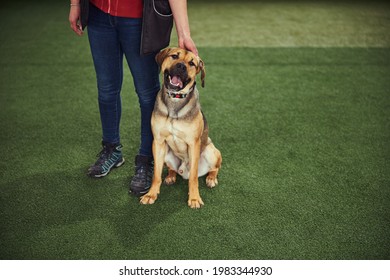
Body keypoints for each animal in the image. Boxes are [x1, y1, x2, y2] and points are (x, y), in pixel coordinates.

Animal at [140, 47, 221, 208]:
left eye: (192, 63)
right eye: (174, 56)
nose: (181, 66)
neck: (175, 100)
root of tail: (183, 171)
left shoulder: (194, 144)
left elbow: (194, 178)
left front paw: (194, 198)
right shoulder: (158, 142)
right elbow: (156, 175)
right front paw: (151, 194)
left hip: (212, 152)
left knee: (214, 168)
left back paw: (211, 179)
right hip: (166, 153)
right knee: (172, 170)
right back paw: (171, 176)